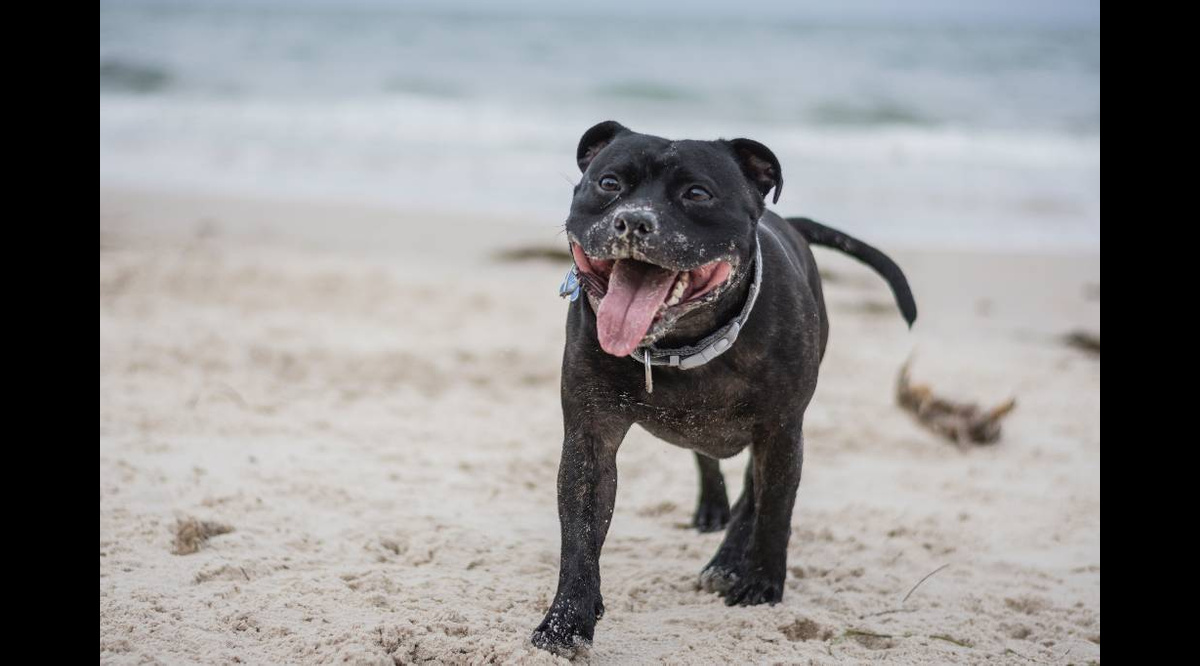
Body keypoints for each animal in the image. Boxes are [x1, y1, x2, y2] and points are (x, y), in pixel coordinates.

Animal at [530, 122, 912, 652]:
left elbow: (774, 512)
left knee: (755, 492)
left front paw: (761, 585)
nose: (634, 221)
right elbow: (581, 534)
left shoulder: (781, 430)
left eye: (697, 194)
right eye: (609, 184)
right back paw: (712, 509)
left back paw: (728, 563)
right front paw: (567, 619)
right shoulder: (589, 440)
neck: (682, 344)